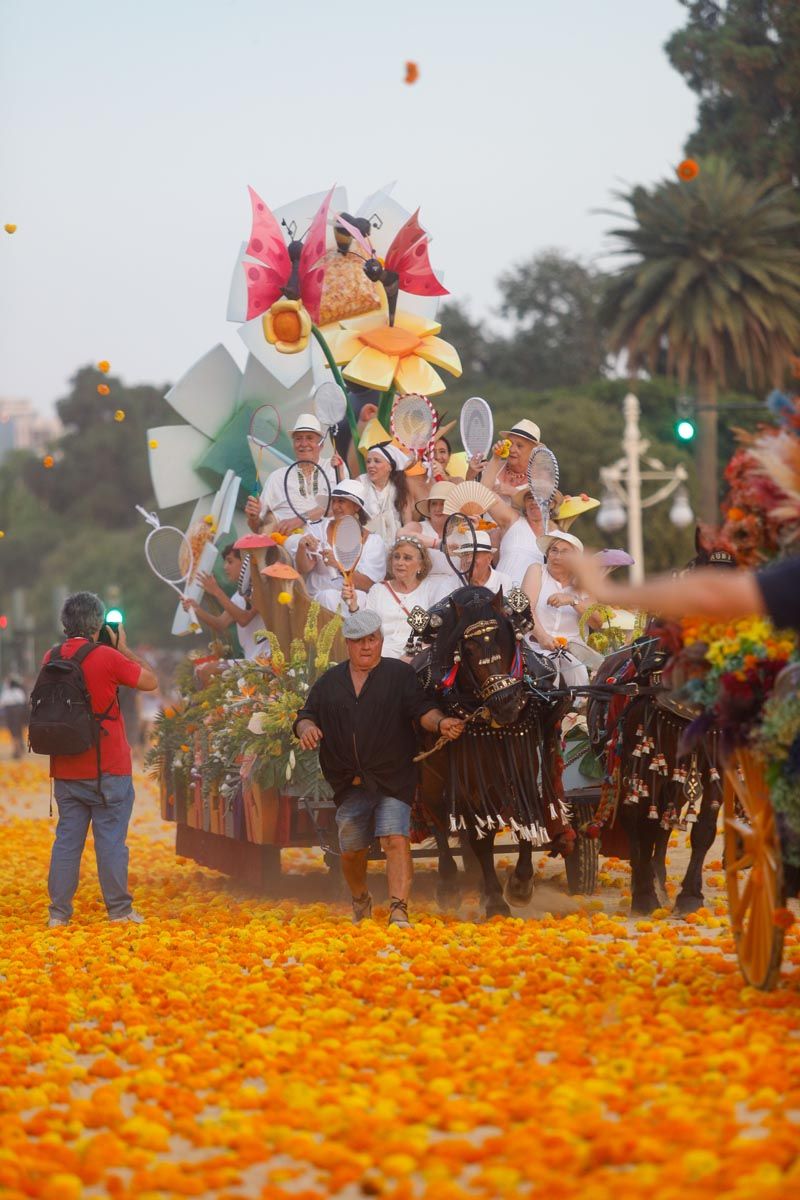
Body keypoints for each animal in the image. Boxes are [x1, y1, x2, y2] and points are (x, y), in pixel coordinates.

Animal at [412, 585, 575, 912]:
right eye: (469, 650)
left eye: (505, 637)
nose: (507, 702)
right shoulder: (469, 779)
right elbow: (481, 836)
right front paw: (496, 899)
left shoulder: (522, 764)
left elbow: (527, 814)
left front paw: (521, 884)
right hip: (432, 777)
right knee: (437, 820)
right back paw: (448, 884)